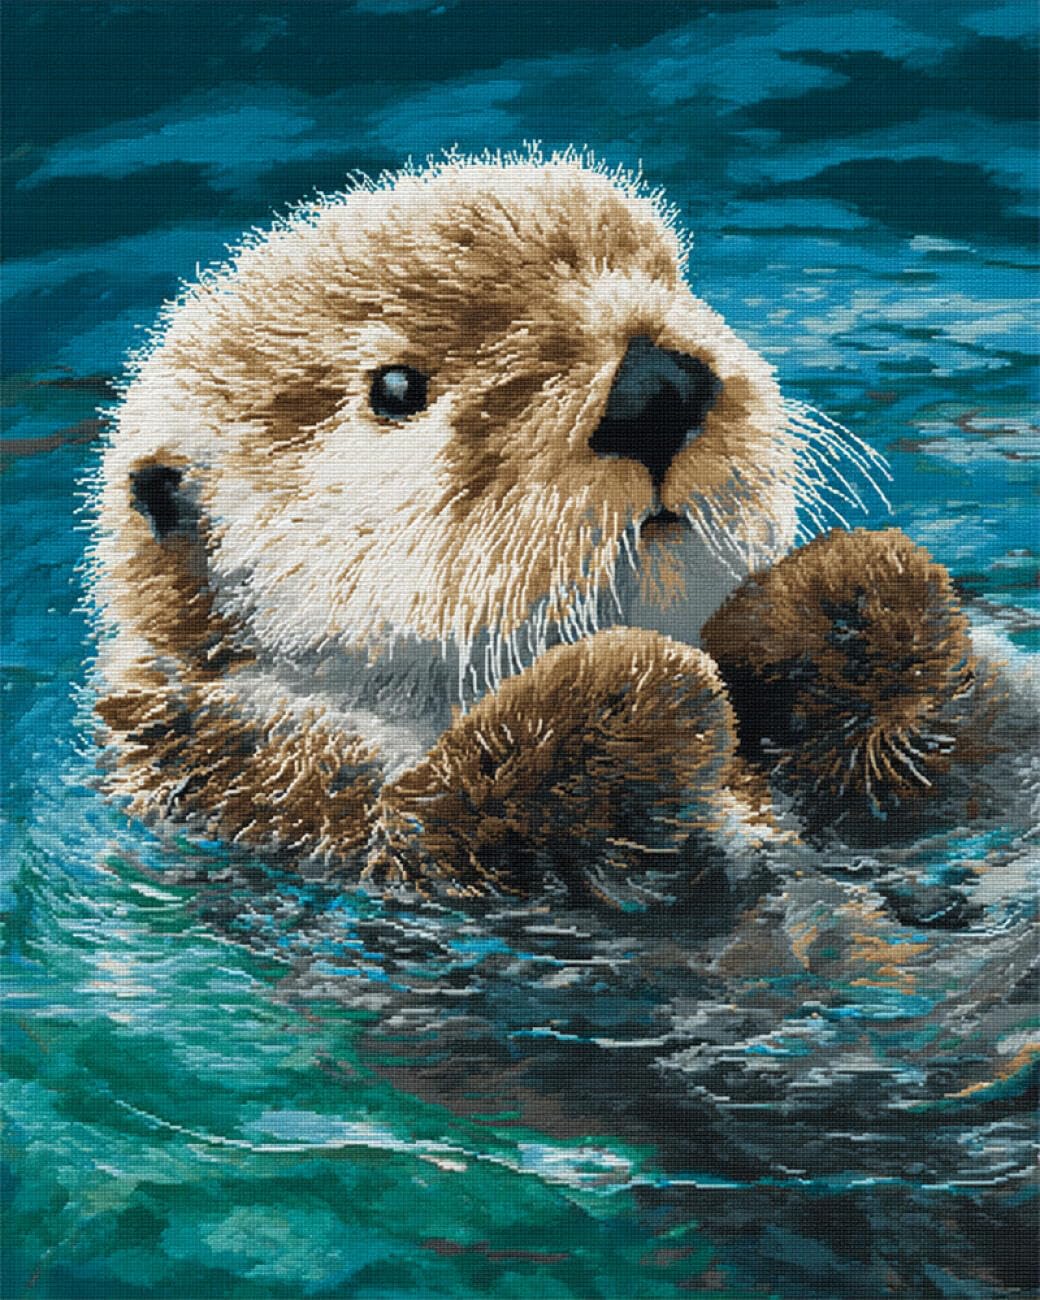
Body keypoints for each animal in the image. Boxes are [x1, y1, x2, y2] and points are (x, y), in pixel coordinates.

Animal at [91, 150, 977, 903]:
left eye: (663, 278)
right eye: (396, 386)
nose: (654, 387)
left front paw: (841, 595)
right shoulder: (297, 802)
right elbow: (460, 823)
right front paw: (628, 681)